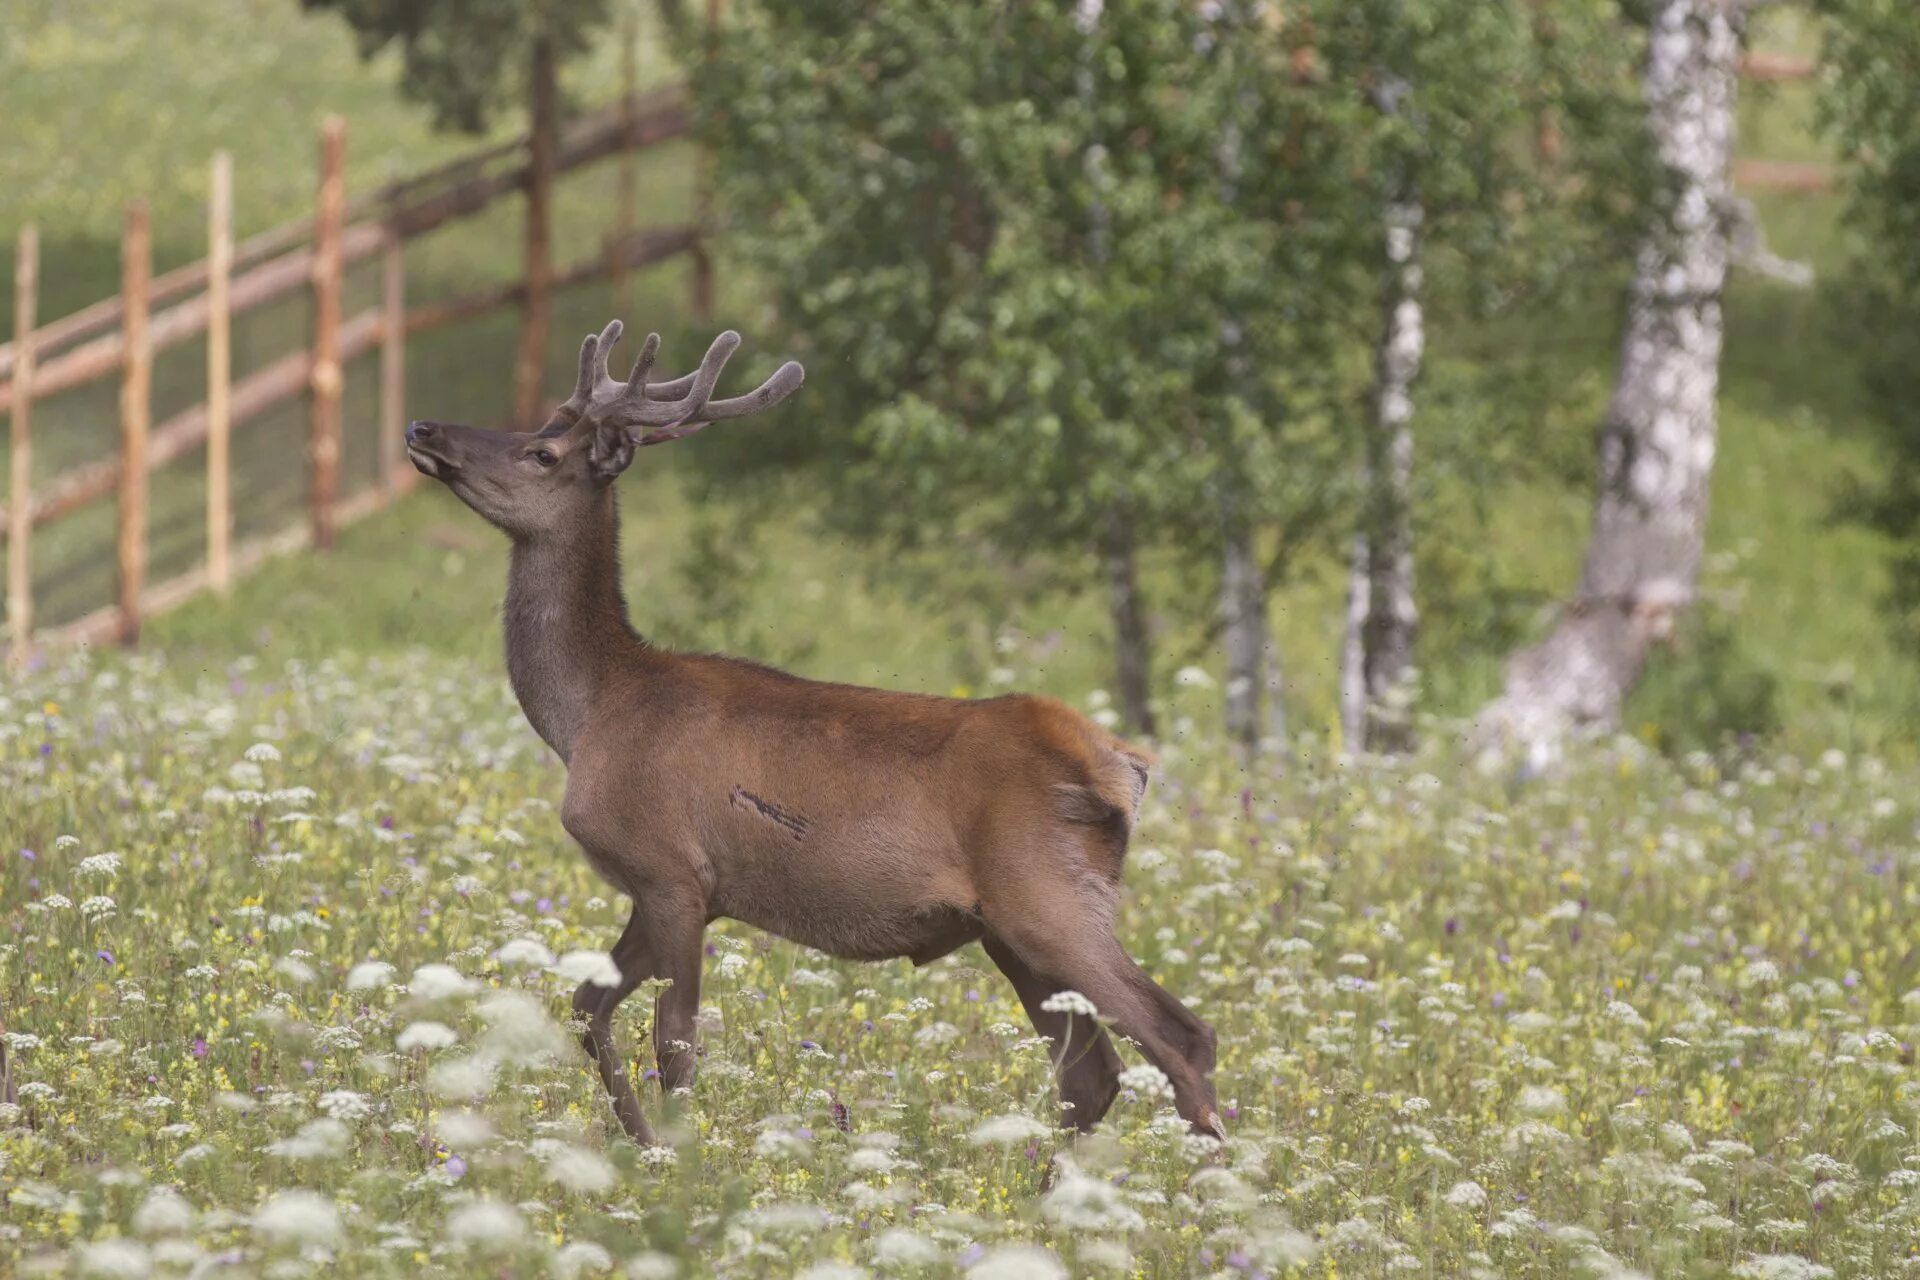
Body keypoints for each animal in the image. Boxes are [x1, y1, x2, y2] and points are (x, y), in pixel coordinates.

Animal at [401, 320, 1228, 1143]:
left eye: (540, 453)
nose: (423, 428)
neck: (589, 714)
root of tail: (1123, 767)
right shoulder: (672, 887)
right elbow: (584, 1007)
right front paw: (638, 1144)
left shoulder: (671, 869)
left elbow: (674, 1039)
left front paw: (676, 1158)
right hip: (1008, 927)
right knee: (1089, 1073)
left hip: (1049, 896)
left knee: (1181, 1035)